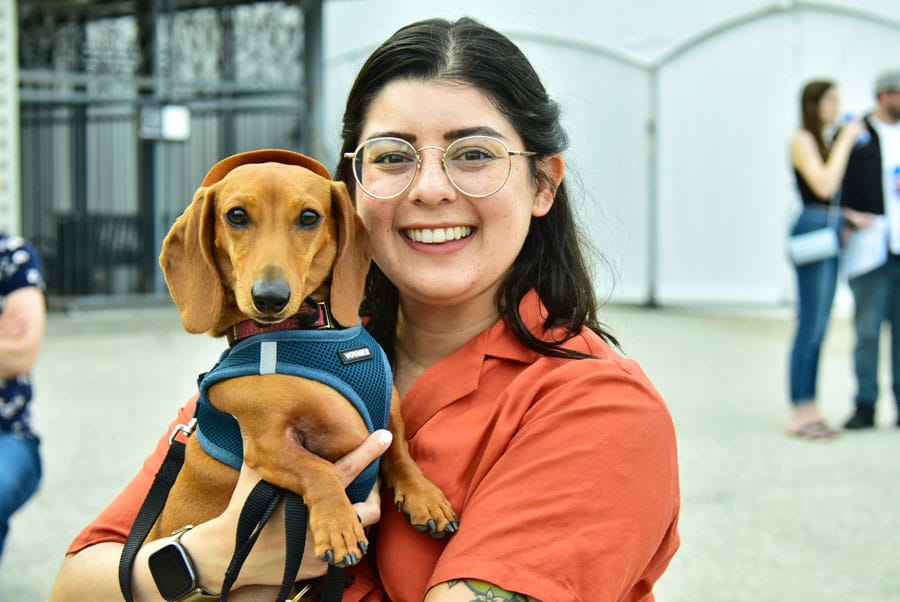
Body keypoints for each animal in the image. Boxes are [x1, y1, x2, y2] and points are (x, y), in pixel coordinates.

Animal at [152, 149, 457, 572]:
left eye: (310, 217)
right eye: (236, 216)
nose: (270, 297)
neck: (314, 333)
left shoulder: (388, 420)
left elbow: (401, 453)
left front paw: (425, 495)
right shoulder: (267, 445)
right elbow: (319, 468)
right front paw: (340, 524)